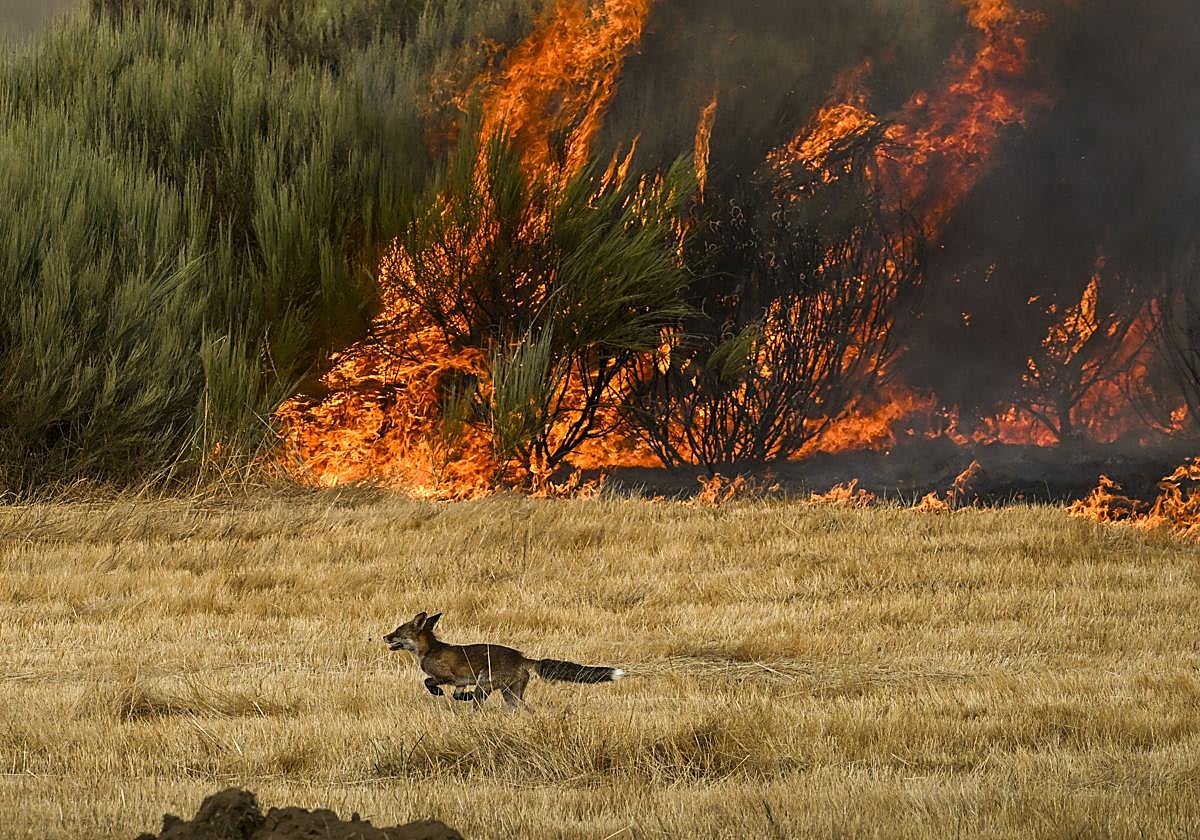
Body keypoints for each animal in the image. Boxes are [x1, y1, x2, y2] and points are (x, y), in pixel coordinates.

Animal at [383, 611, 624, 708]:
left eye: (397, 632)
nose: (384, 636)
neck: (429, 650)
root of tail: (521, 657)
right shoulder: (461, 683)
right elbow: (457, 695)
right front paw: (463, 697)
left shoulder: (445, 676)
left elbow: (428, 682)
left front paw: (437, 692)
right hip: (511, 695)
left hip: (486, 685)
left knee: (481, 702)